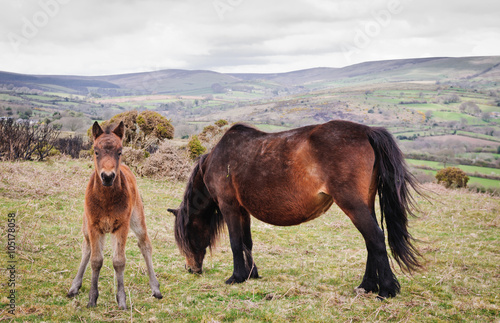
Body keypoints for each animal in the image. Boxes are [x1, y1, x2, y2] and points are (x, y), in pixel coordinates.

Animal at [170, 120, 424, 300]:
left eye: (186, 236)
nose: (191, 269)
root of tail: (368, 131)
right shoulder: (243, 211)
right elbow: (246, 242)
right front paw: (252, 274)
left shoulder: (229, 207)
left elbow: (235, 243)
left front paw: (237, 277)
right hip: (365, 203)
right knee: (371, 241)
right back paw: (367, 286)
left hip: (352, 204)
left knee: (376, 238)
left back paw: (386, 290)